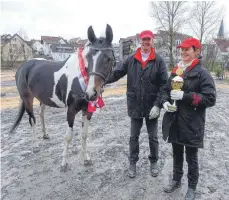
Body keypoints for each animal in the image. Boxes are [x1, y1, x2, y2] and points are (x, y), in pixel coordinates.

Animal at [9, 23, 115, 170]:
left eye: (108, 59)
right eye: (88, 59)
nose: (91, 93)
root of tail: (23, 67)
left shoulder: (87, 111)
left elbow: (84, 134)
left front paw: (86, 159)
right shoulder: (71, 110)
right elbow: (68, 136)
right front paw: (64, 163)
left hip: (43, 99)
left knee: (41, 115)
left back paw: (45, 135)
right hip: (27, 99)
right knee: (32, 119)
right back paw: (35, 145)